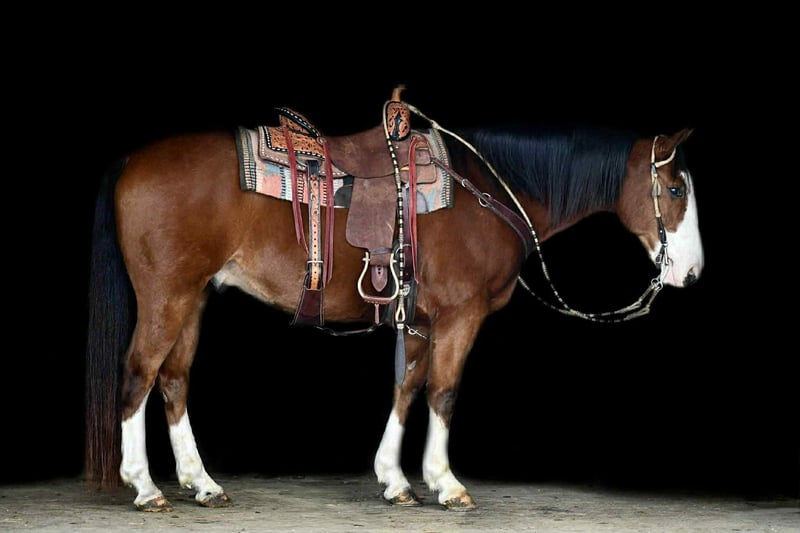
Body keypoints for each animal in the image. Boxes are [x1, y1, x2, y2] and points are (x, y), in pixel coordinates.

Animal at [84, 88, 704, 513]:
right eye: (675, 189)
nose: (692, 273)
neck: (489, 189)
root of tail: (131, 161)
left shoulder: (423, 319)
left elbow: (407, 388)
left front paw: (396, 479)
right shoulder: (459, 315)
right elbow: (444, 392)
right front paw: (446, 483)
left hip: (193, 297)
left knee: (173, 379)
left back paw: (202, 483)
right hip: (166, 295)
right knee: (139, 374)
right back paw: (146, 487)